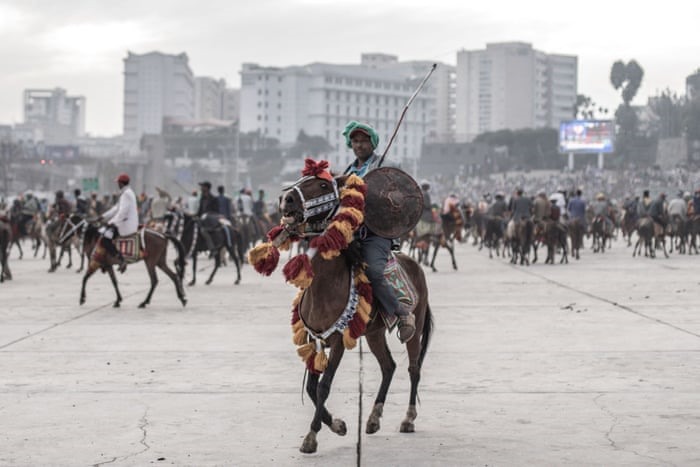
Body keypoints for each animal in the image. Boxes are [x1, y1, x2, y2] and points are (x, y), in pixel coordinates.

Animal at [274, 171, 430, 454]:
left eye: (323, 184)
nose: (286, 198)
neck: (324, 284)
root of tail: (415, 265)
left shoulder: (337, 341)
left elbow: (323, 387)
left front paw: (311, 437)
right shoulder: (315, 339)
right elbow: (312, 388)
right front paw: (338, 425)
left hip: (416, 326)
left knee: (413, 368)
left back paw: (408, 419)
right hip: (374, 333)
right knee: (388, 366)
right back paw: (373, 419)